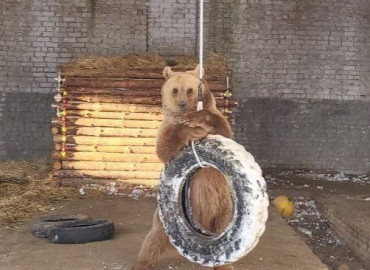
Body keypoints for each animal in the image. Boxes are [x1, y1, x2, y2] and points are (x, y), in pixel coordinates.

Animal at [132, 65, 233, 270]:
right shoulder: (167, 127)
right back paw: (141, 263)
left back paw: (225, 265)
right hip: (164, 219)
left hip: (222, 208)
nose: (182, 104)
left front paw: (197, 120)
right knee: (152, 240)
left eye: (190, 90)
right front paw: (191, 131)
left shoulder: (219, 122)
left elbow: (224, 130)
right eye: (175, 90)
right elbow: (164, 148)